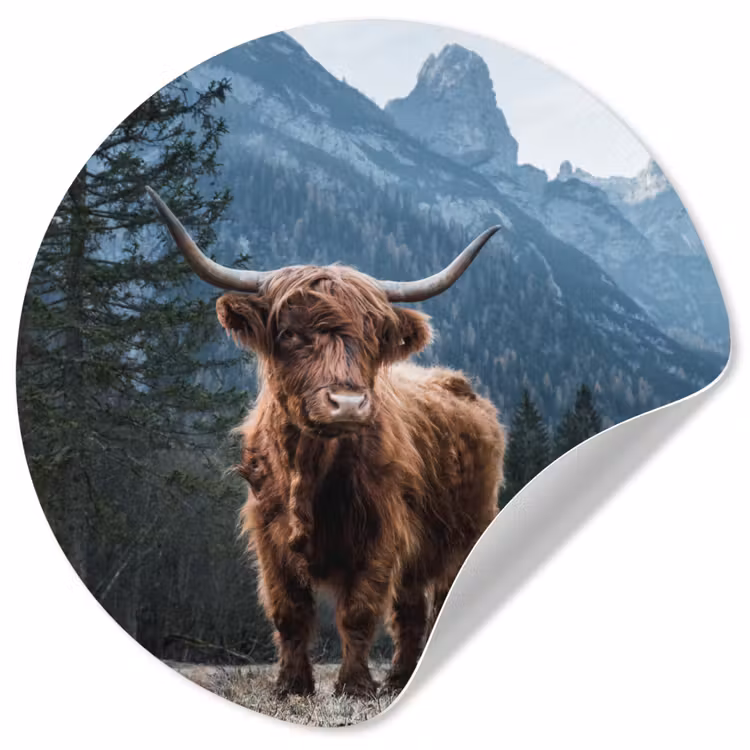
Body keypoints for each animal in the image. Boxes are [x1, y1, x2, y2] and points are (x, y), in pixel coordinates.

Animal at [146, 187, 506, 697]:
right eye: (290, 333)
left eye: (373, 338)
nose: (348, 403)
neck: (309, 469)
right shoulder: (269, 537)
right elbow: (289, 613)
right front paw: (292, 684)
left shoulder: (380, 534)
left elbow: (358, 613)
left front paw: (353, 685)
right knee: (411, 611)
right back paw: (400, 677)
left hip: (466, 531)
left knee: (437, 600)